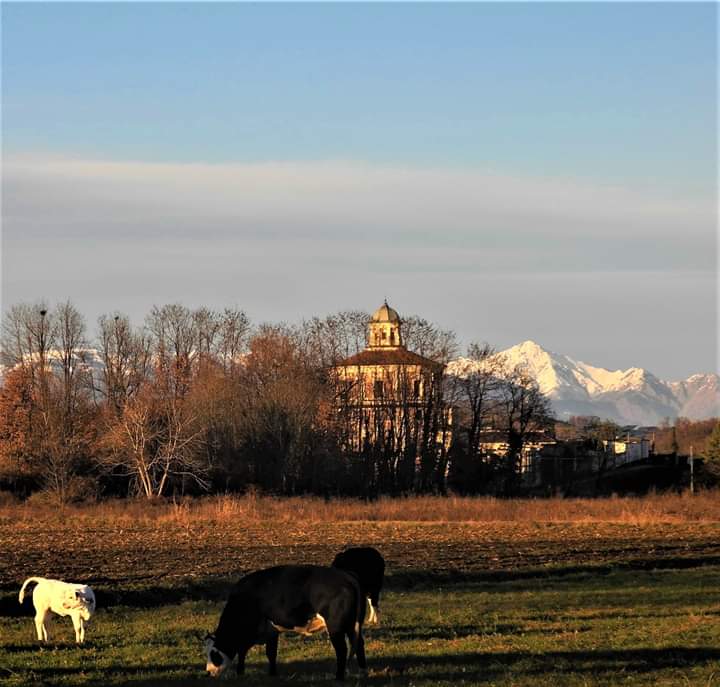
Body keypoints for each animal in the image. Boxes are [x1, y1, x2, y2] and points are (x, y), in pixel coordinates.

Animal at [205, 564, 368, 684]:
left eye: (214, 654)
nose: (208, 672)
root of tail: (346, 575)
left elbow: (244, 651)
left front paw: (241, 672)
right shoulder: (270, 631)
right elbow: (269, 653)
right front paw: (271, 674)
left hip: (336, 628)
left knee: (341, 650)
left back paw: (339, 677)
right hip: (352, 626)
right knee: (359, 645)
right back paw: (363, 672)